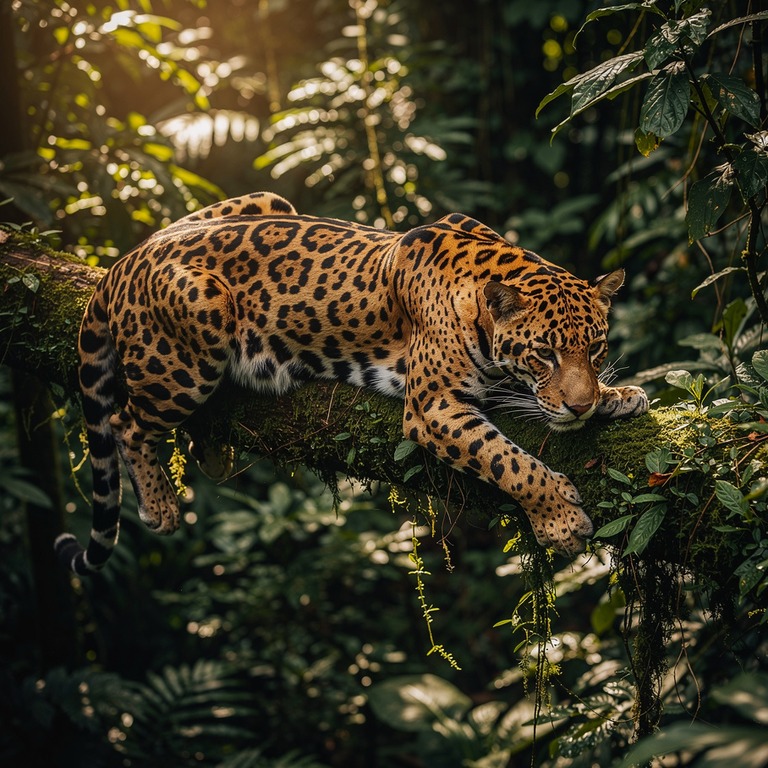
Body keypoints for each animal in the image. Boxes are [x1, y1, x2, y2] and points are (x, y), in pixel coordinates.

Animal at [55, 191, 649, 575]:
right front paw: (560, 520)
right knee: (124, 421)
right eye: (544, 353)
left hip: (270, 201)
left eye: (595, 348)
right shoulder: (434, 406)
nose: (580, 407)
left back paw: (212, 454)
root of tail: (127, 259)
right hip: (200, 326)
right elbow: (508, 461)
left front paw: (617, 397)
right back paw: (160, 506)